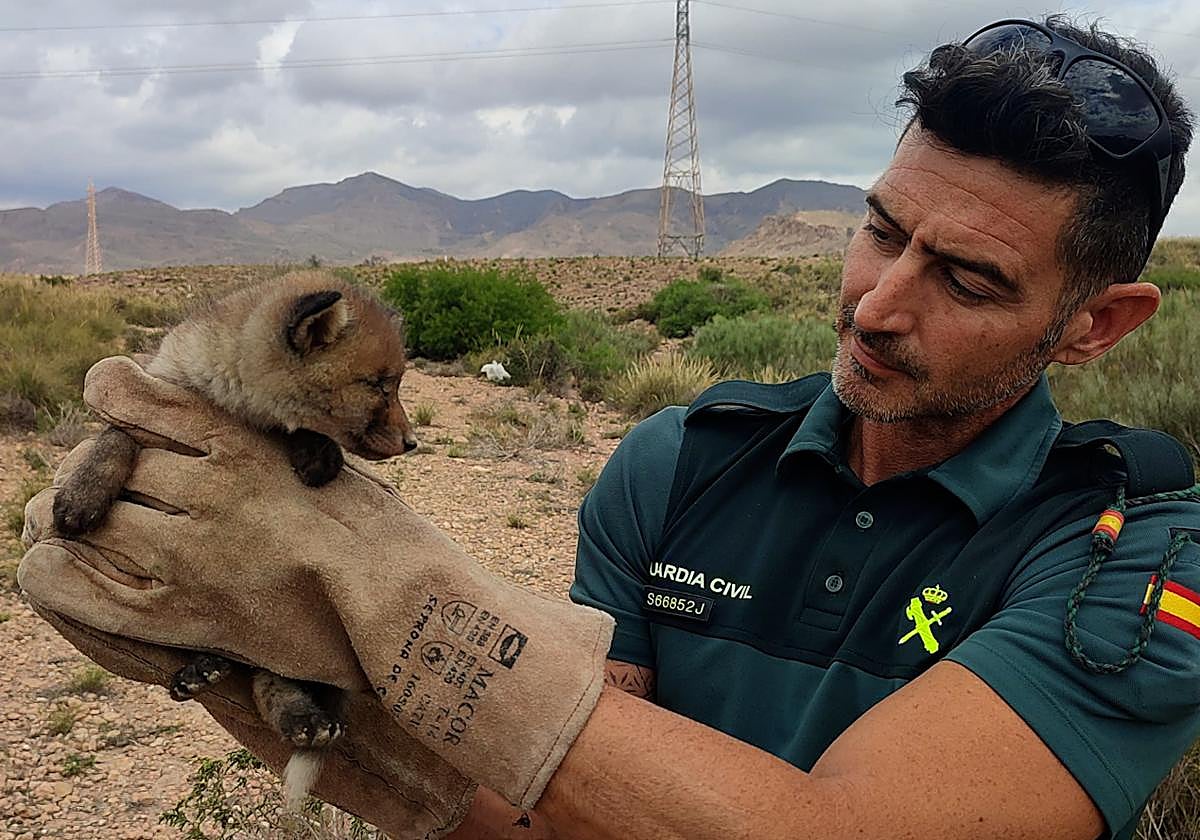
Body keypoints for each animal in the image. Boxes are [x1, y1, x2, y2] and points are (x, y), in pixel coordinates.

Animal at [51, 269, 419, 805]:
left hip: (277, 633)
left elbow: (299, 431)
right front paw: (83, 495)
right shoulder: (154, 397)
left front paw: (317, 453)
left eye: (393, 384)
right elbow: (113, 438)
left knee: (270, 680)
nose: (413, 443)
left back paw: (302, 720)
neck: (234, 407)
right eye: (378, 386)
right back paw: (200, 668)